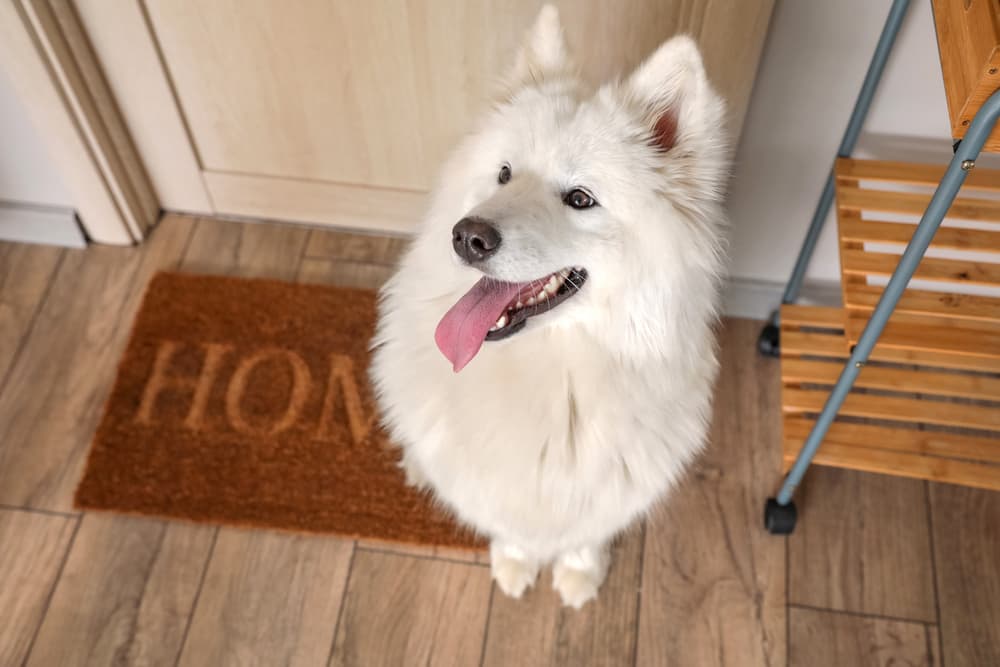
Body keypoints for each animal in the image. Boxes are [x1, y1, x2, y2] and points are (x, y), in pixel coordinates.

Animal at [372, 6, 732, 612]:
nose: (467, 237)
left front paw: (579, 572)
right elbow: (511, 526)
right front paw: (517, 562)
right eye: (504, 173)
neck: (556, 376)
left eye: (580, 199)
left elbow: (585, 533)